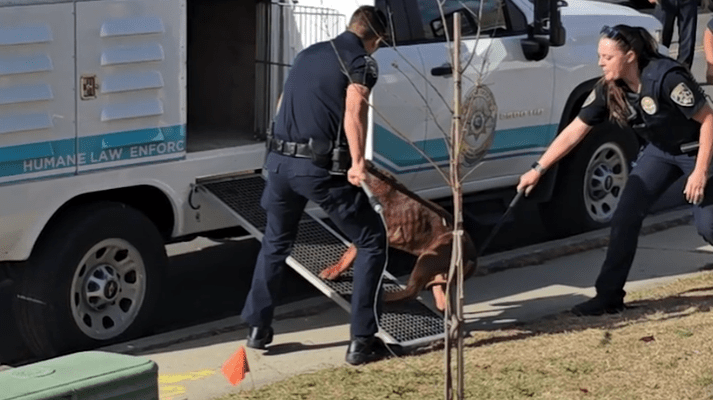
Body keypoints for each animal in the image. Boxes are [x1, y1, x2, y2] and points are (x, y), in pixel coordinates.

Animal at [318, 161, 476, 310]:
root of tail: (471, 250)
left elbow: (348, 256)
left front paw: (333, 271)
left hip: (427, 259)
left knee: (412, 291)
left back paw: (386, 297)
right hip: (437, 266)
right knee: (441, 297)